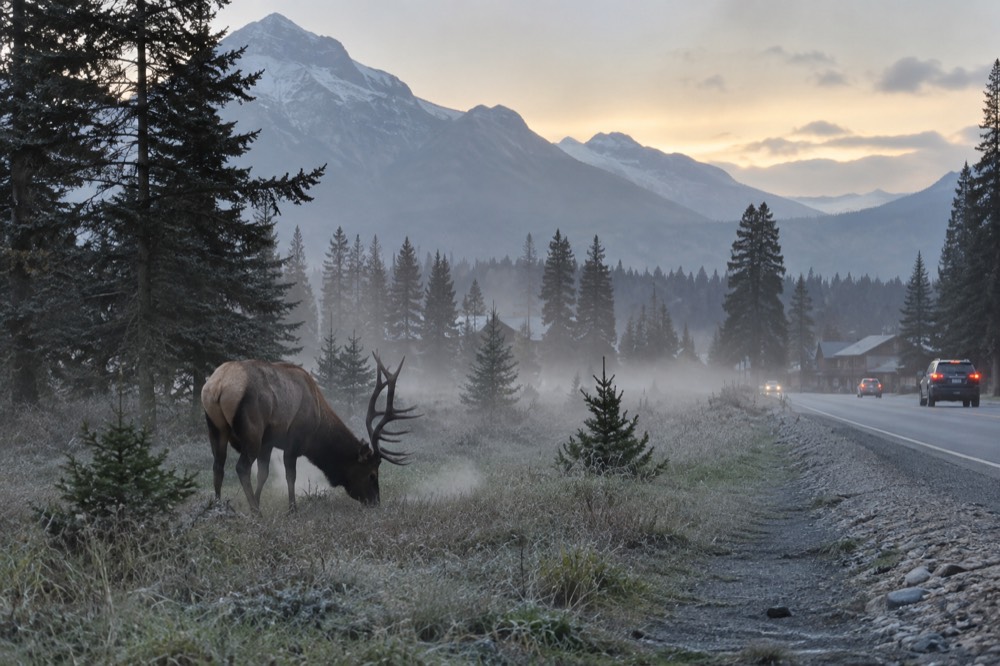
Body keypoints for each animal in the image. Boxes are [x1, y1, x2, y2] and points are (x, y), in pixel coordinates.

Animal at [201, 353, 417, 513]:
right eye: (372, 474)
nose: (375, 503)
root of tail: (218, 386)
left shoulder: (268, 442)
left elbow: (263, 474)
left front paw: (258, 500)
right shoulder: (293, 440)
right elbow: (291, 476)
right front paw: (291, 509)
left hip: (215, 427)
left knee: (218, 466)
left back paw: (218, 508)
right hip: (252, 428)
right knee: (241, 467)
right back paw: (255, 512)